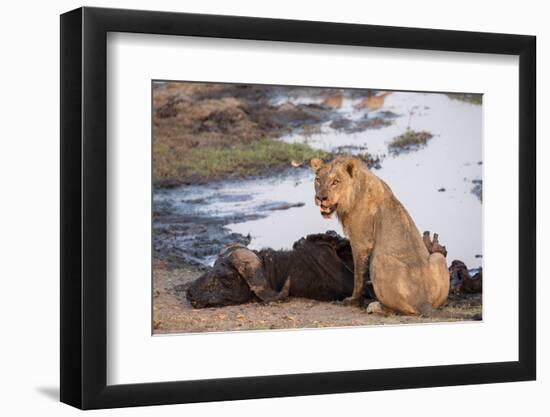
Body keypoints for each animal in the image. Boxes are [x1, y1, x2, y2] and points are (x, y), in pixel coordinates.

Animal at [312, 157, 450, 316]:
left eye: (335, 181)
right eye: (318, 180)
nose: (320, 198)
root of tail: (423, 301)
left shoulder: (361, 243)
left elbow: (358, 276)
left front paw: (353, 301)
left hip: (378, 260)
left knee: (399, 310)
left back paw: (375, 306)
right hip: (438, 258)